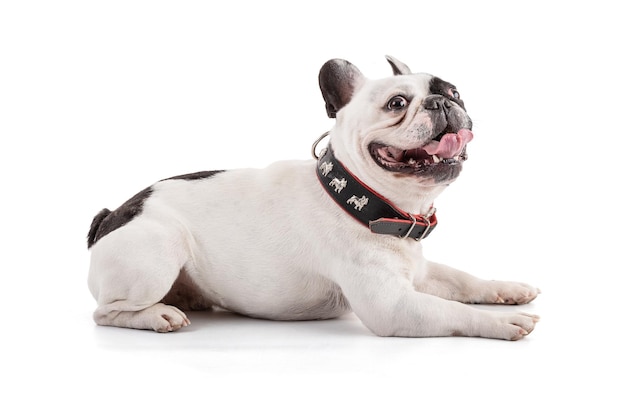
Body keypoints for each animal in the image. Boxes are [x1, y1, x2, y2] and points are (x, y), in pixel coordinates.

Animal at [86, 55, 536, 340]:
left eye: (456, 92)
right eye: (397, 103)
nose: (443, 101)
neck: (370, 202)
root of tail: (113, 214)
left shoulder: (420, 272)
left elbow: (463, 279)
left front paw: (507, 290)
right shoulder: (393, 305)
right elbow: (454, 311)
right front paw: (503, 323)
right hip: (158, 250)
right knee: (105, 312)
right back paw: (158, 315)